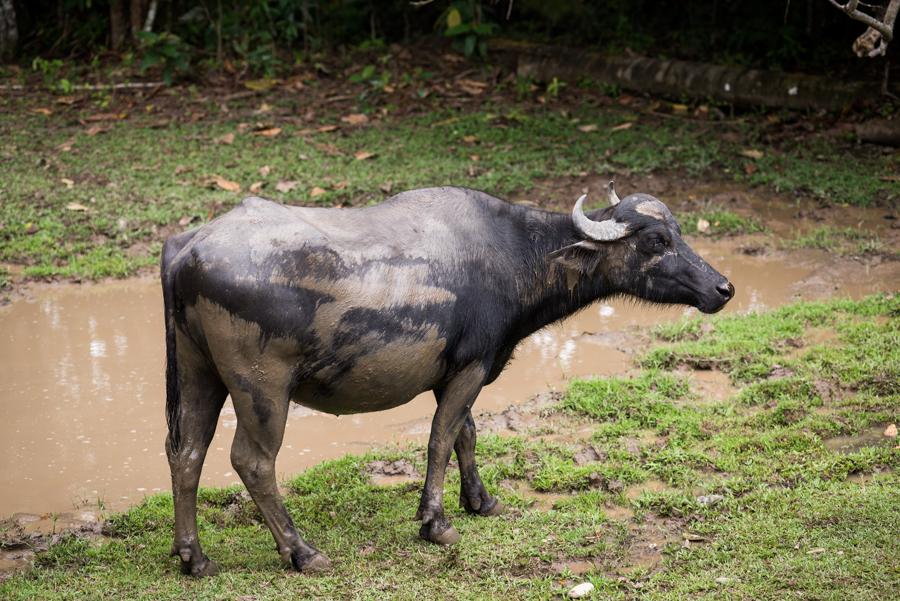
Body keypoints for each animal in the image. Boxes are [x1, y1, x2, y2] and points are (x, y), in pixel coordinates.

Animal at [162, 182, 736, 572]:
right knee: (252, 461)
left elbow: (467, 433)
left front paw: (481, 500)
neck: (515, 254)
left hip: (198, 371)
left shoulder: (459, 372)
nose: (724, 288)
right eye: (656, 241)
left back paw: (194, 557)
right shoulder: (472, 366)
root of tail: (185, 249)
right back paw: (301, 551)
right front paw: (435, 522)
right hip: (262, 387)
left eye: (678, 233)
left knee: (186, 453)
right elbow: (441, 437)